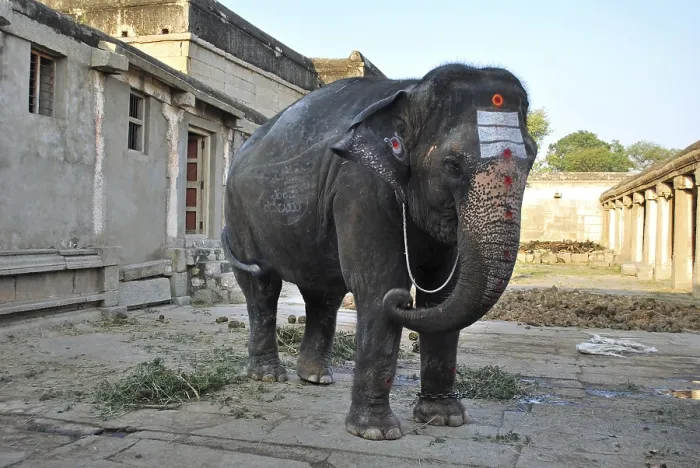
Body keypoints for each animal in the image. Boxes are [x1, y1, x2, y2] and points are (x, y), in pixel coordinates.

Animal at [221, 63, 537, 441]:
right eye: (452, 164)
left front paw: (444, 419)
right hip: (239, 213)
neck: (411, 94)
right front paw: (376, 432)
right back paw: (269, 376)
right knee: (263, 287)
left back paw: (316, 377)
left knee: (323, 294)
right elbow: (379, 284)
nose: (403, 301)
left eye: (532, 159)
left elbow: (443, 293)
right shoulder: (360, 185)